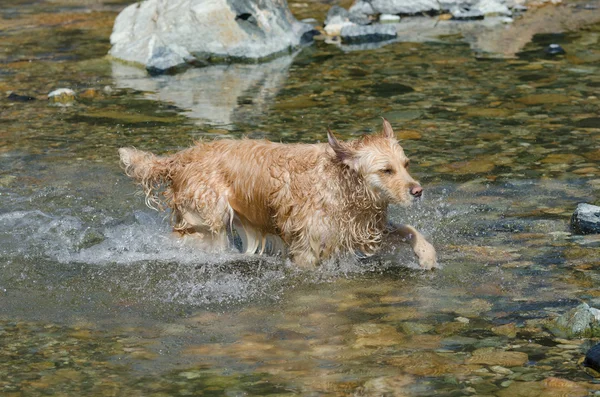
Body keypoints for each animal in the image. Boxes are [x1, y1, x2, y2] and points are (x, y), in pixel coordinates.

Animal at [118, 119, 436, 270]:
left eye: (406, 164)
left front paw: (426, 255)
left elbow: (408, 229)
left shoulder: (364, 227)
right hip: (210, 223)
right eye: (386, 170)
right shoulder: (308, 246)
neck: (342, 184)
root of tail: (182, 157)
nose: (418, 191)